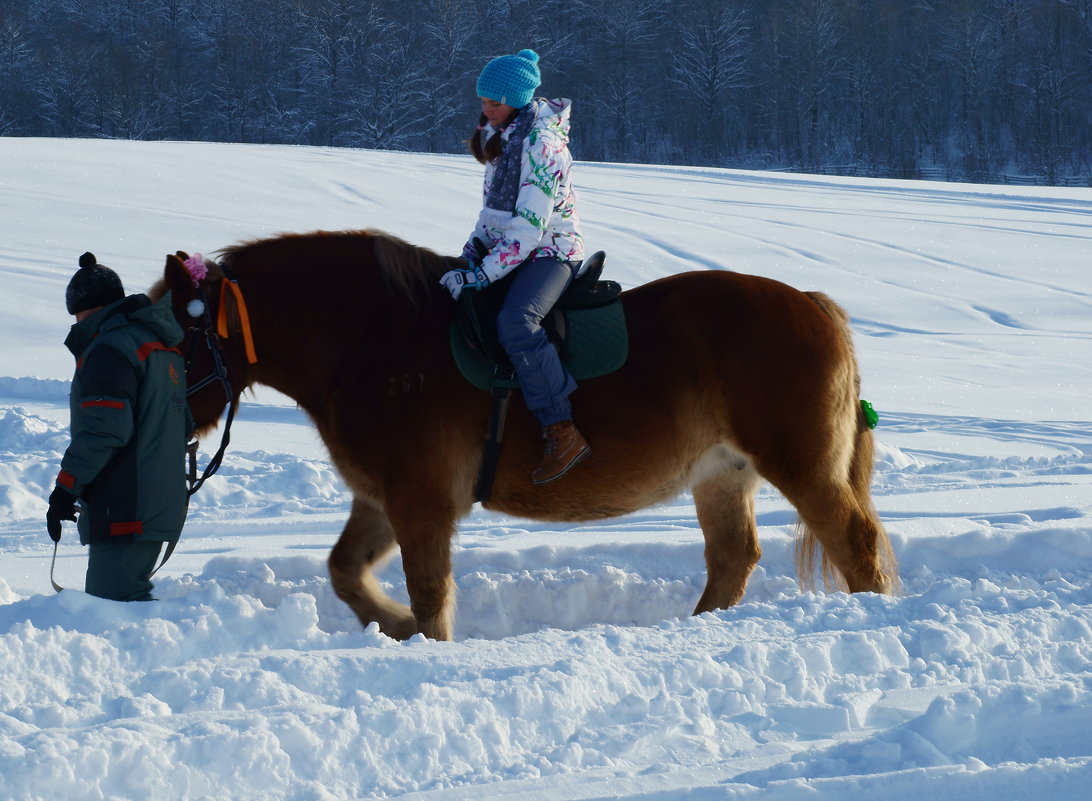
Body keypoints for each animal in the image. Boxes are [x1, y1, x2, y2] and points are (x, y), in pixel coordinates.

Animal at [149, 229, 899, 641]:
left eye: (172, 339)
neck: (373, 341)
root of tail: (814, 305)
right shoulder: (382, 498)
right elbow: (345, 571)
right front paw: (393, 627)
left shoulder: (420, 502)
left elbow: (429, 590)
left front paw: (423, 636)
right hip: (722, 473)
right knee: (734, 558)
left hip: (801, 466)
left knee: (854, 543)